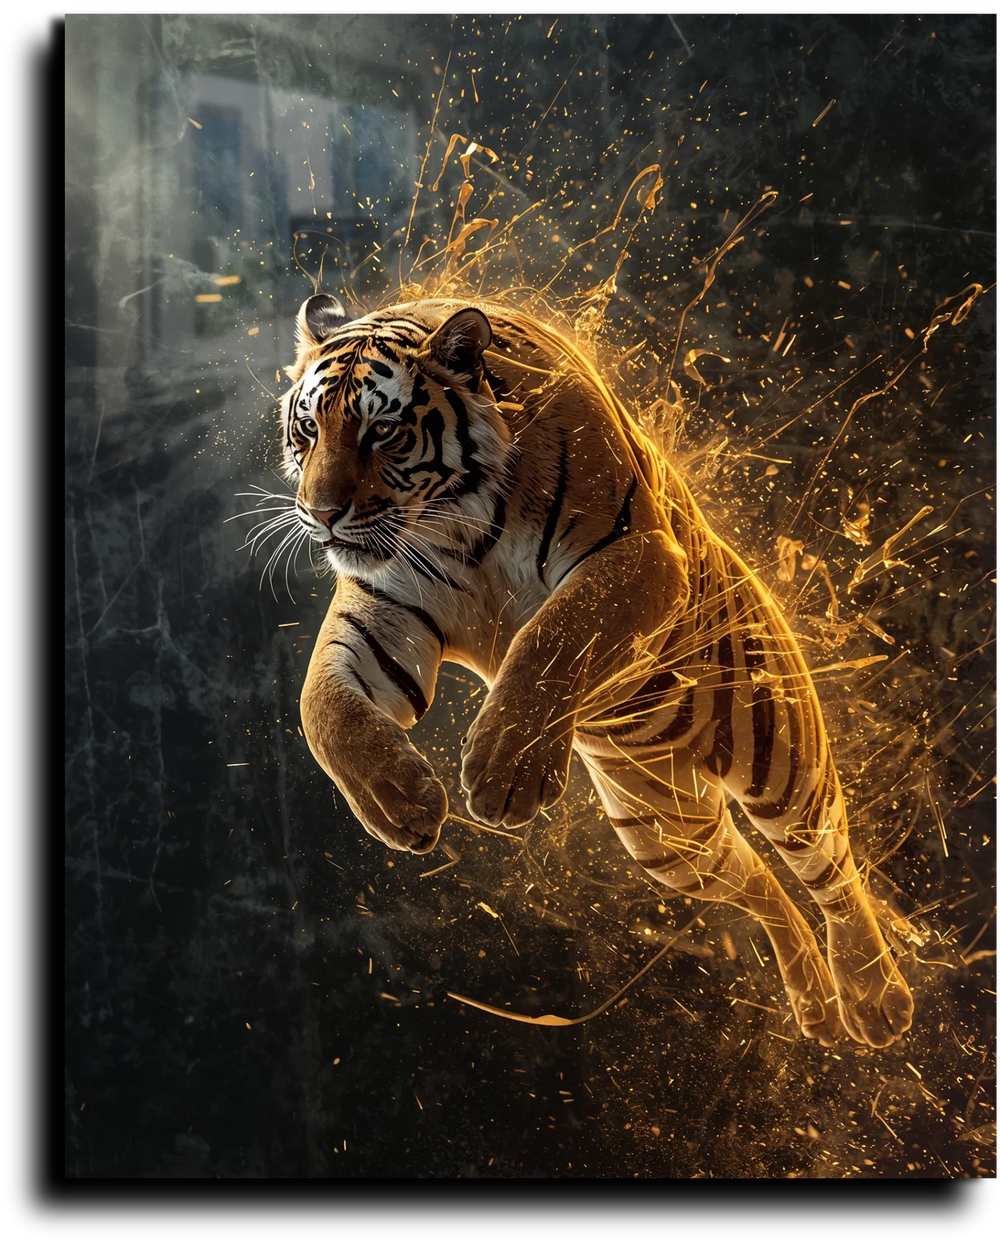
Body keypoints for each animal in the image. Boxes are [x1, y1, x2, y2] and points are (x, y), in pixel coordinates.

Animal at [278, 290, 914, 1048]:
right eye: (307, 431)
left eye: (383, 433)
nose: (320, 513)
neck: (457, 526)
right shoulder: (384, 611)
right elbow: (323, 708)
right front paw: (400, 804)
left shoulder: (638, 556)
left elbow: (552, 636)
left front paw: (503, 777)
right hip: (665, 831)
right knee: (756, 881)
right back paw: (814, 1000)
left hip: (779, 759)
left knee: (828, 868)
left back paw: (874, 999)